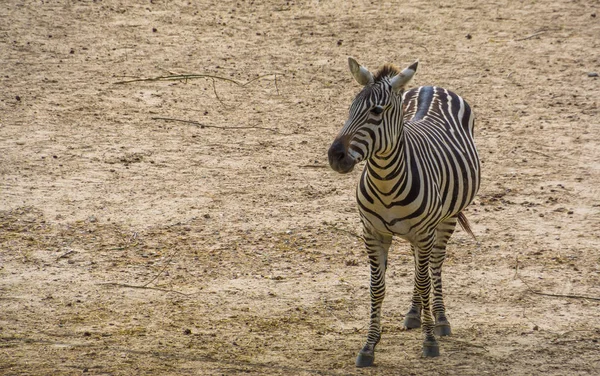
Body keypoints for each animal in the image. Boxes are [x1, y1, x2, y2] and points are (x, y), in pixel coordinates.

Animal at [326, 57, 480, 366]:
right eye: (350, 109)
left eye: (376, 111)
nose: (335, 156)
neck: (385, 181)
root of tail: (432, 86)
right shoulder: (372, 233)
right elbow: (377, 289)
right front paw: (369, 346)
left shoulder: (424, 231)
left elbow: (424, 281)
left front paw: (430, 341)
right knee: (420, 263)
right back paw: (414, 313)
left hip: (444, 221)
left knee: (434, 266)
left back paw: (439, 319)